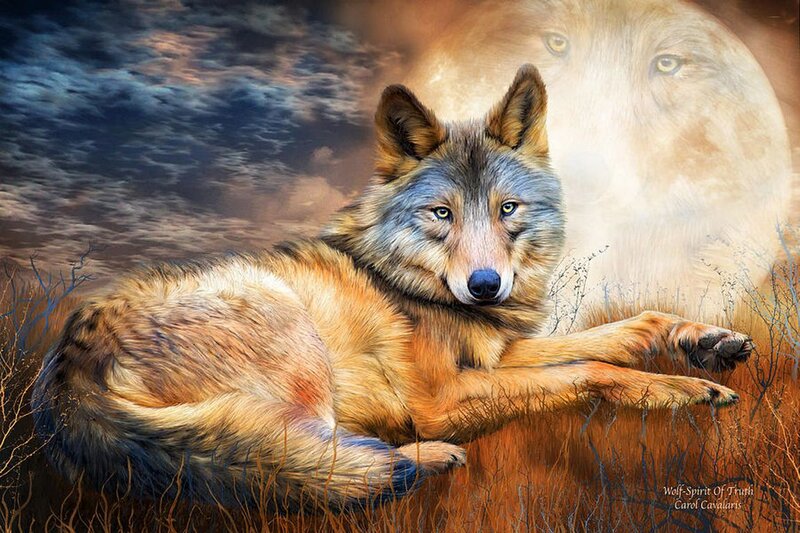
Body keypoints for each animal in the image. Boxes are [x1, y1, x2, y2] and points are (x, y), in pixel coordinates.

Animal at [32, 65, 752, 512]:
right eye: (442, 214)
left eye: (507, 209)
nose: (485, 286)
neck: (407, 278)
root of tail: (67, 378)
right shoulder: (443, 396)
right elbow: (594, 368)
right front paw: (685, 390)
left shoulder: (496, 355)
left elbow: (629, 328)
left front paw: (707, 343)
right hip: (296, 341)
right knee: (315, 460)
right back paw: (426, 459)